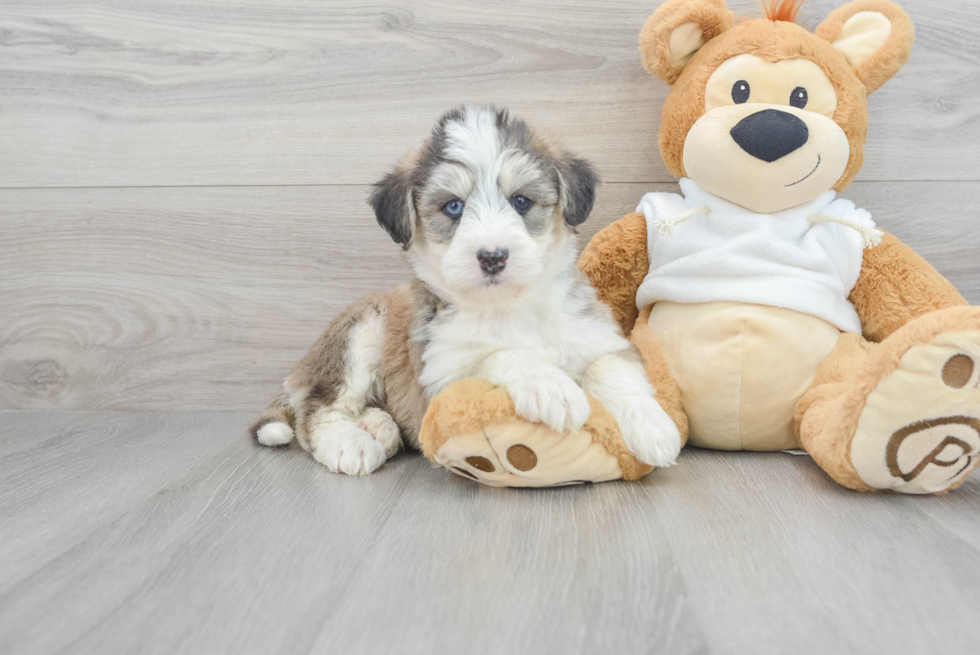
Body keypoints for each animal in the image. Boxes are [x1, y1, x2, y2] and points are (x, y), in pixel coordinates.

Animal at [251, 107, 680, 476]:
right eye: (453, 207)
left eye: (521, 201)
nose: (492, 257)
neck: (509, 306)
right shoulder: (441, 381)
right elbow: (496, 355)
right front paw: (549, 386)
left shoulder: (596, 336)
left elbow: (612, 369)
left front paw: (652, 426)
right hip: (361, 331)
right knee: (316, 412)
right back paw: (349, 443)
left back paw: (378, 426)